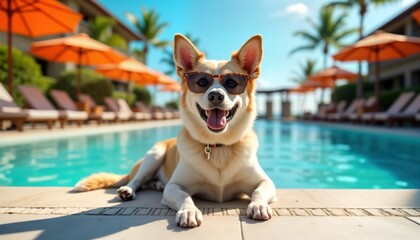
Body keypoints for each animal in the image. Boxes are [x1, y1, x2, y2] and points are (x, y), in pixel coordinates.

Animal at [74, 33, 278, 227]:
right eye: (201, 82)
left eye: (232, 83)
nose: (215, 96)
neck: (218, 146)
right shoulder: (173, 186)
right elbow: (183, 195)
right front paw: (189, 211)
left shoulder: (266, 182)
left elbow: (259, 190)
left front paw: (258, 205)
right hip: (154, 155)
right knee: (137, 179)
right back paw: (129, 189)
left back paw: (156, 184)